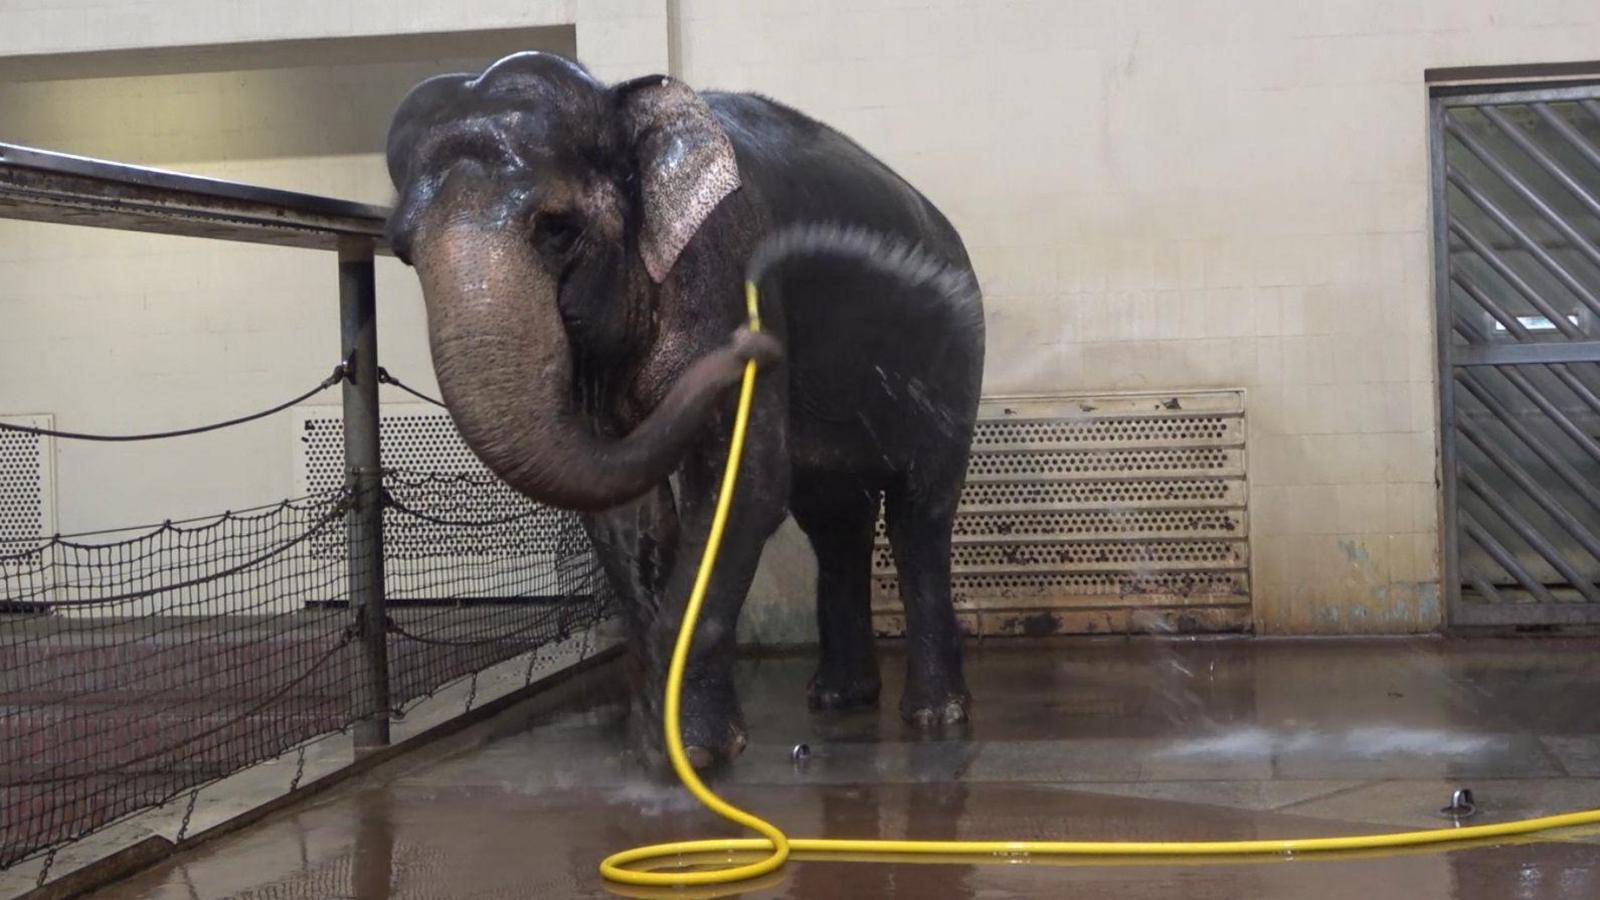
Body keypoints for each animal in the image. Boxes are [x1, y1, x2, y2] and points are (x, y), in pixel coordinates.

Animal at [387, 50, 985, 762]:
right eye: (401, 251)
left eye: (558, 228)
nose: (761, 343)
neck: (620, 99)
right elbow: (625, 510)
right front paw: (653, 747)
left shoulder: (726, 262)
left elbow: (743, 484)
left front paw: (692, 753)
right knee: (834, 516)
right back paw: (840, 700)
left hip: (955, 357)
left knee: (920, 509)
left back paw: (937, 716)